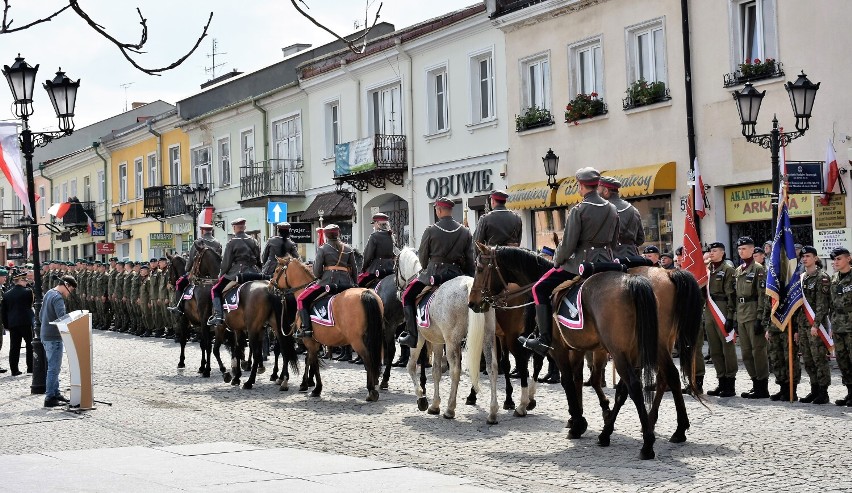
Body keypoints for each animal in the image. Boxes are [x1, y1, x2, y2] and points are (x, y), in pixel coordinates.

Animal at [272, 256, 384, 402]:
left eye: (277, 270)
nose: (271, 285)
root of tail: (366, 292)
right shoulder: (314, 340)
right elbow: (309, 359)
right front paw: (305, 383)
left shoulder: (309, 340)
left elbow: (313, 362)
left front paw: (316, 388)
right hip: (375, 337)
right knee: (377, 358)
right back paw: (376, 383)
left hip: (357, 341)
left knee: (368, 359)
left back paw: (371, 391)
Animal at [398, 248, 502, 424]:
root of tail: (467, 285)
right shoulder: (438, 341)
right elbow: (436, 371)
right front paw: (434, 405)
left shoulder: (419, 339)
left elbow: (411, 366)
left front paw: (422, 399)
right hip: (487, 337)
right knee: (492, 367)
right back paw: (493, 413)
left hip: (452, 341)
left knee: (455, 371)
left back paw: (450, 409)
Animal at [470, 246, 704, 458]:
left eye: (479, 268)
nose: (472, 302)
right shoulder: (580, 349)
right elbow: (582, 380)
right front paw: (582, 419)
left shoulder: (559, 348)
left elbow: (569, 381)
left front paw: (576, 423)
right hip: (653, 346)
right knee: (665, 377)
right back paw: (671, 429)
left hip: (627, 350)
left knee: (637, 385)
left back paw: (646, 442)